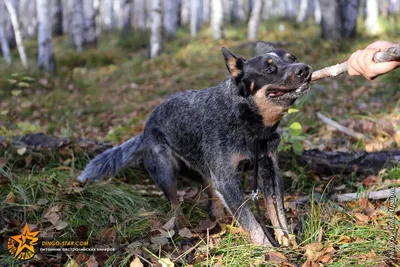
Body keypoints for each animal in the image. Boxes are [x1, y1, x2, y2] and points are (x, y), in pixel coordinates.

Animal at [76, 40, 310, 248]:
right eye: (269, 69)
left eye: (293, 58)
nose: (304, 69)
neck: (251, 126)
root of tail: (145, 128)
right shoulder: (226, 180)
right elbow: (251, 222)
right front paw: (267, 249)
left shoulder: (269, 170)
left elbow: (278, 213)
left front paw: (287, 241)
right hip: (165, 171)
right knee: (174, 203)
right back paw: (180, 226)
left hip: (204, 171)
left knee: (211, 197)